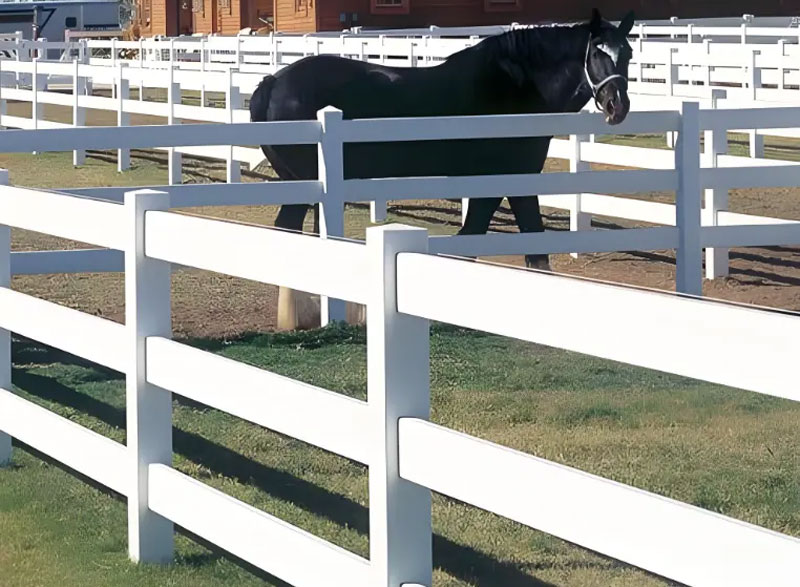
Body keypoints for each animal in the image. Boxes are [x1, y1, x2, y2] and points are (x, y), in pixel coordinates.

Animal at [253, 9, 636, 268]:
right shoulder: (507, 178)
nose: (617, 105)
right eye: (597, 51)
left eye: (629, 53)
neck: (516, 87)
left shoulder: (506, 181)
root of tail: (274, 82)